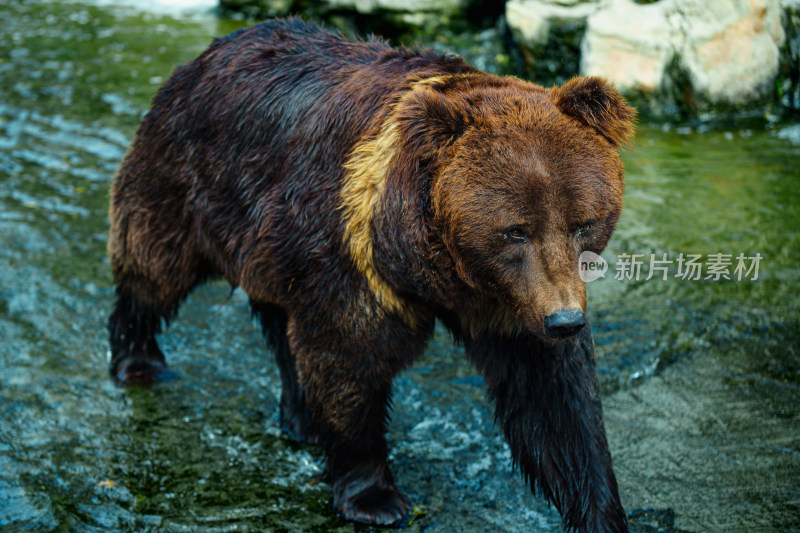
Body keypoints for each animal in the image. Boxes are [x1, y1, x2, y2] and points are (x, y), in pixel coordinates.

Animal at [106, 16, 636, 532]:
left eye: (583, 223)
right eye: (515, 231)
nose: (565, 321)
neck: (441, 273)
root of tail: (213, 49)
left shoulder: (514, 304)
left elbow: (558, 405)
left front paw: (600, 511)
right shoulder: (354, 256)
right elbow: (347, 358)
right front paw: (375, 498)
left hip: (268, 248)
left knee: (280, 321)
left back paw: (299, 417)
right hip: (189, 178)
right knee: (153, 268)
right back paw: (138, 361)